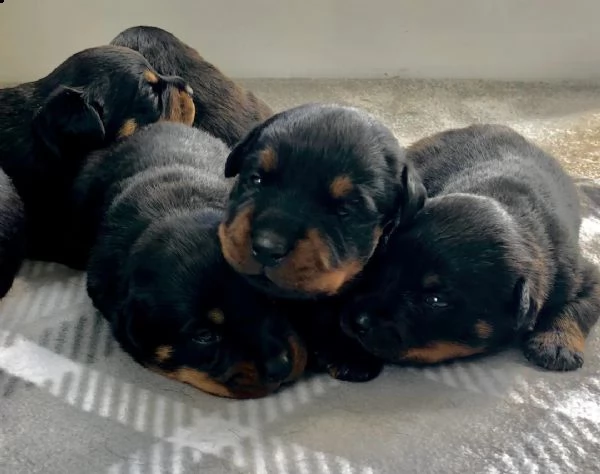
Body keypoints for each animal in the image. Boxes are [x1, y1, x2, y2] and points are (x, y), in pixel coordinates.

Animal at [342, 124, 600, 372]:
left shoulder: (580, 273)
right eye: (382, 268)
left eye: (434, 300)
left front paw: (557, 344)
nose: (357, 320)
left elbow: (578, 307)